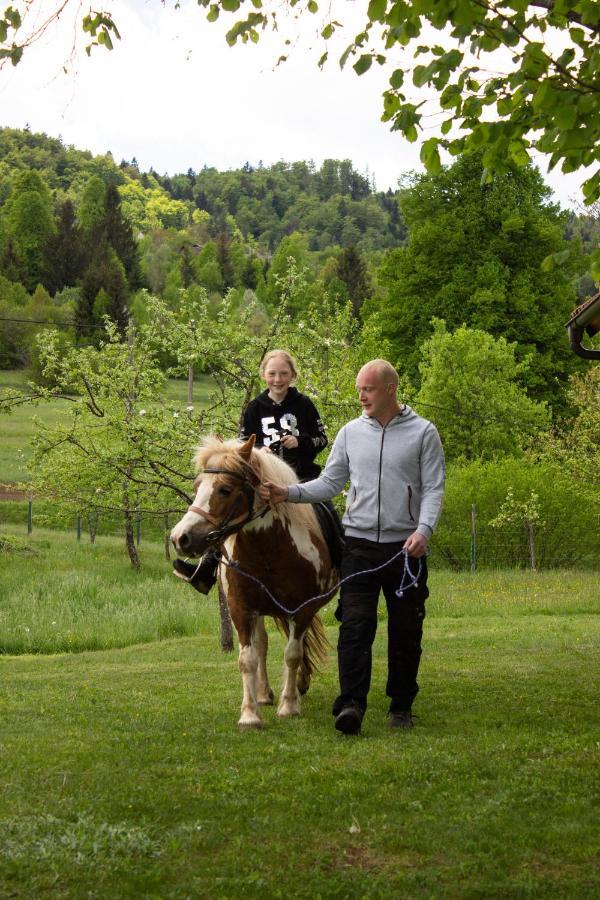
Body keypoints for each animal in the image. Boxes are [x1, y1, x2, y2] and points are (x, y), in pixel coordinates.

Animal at [170, 436, 338, 732]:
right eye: (197, 487)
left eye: (225, 490)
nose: (180, 538)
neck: (269, 550)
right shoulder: (241, 608)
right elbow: (247, 659)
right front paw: (249, 714)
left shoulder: (302, 609)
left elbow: (293, 653)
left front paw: (289, 705)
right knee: (262, 645)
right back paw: (264, 694)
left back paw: (297, 686)